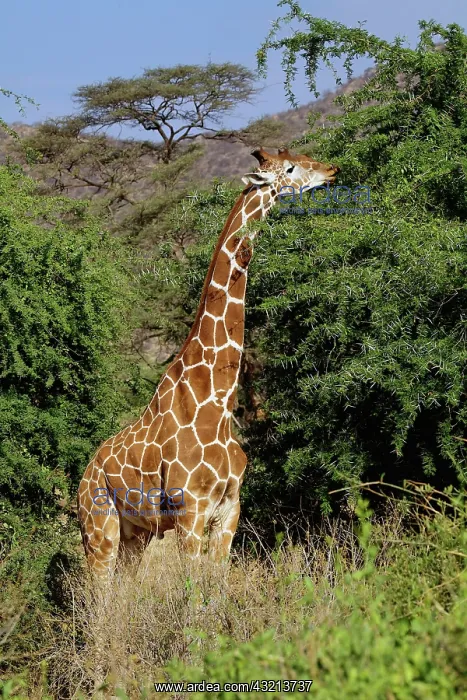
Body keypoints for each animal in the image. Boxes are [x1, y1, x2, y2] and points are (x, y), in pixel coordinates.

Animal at [77, 147, 340, 576]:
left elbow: (216, 584)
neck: (217, 401)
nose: (331, 171)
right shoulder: (190, 511)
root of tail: (82, 476)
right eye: (290, 168)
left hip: (136, 534)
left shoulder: (230, 509)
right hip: (99, 529)